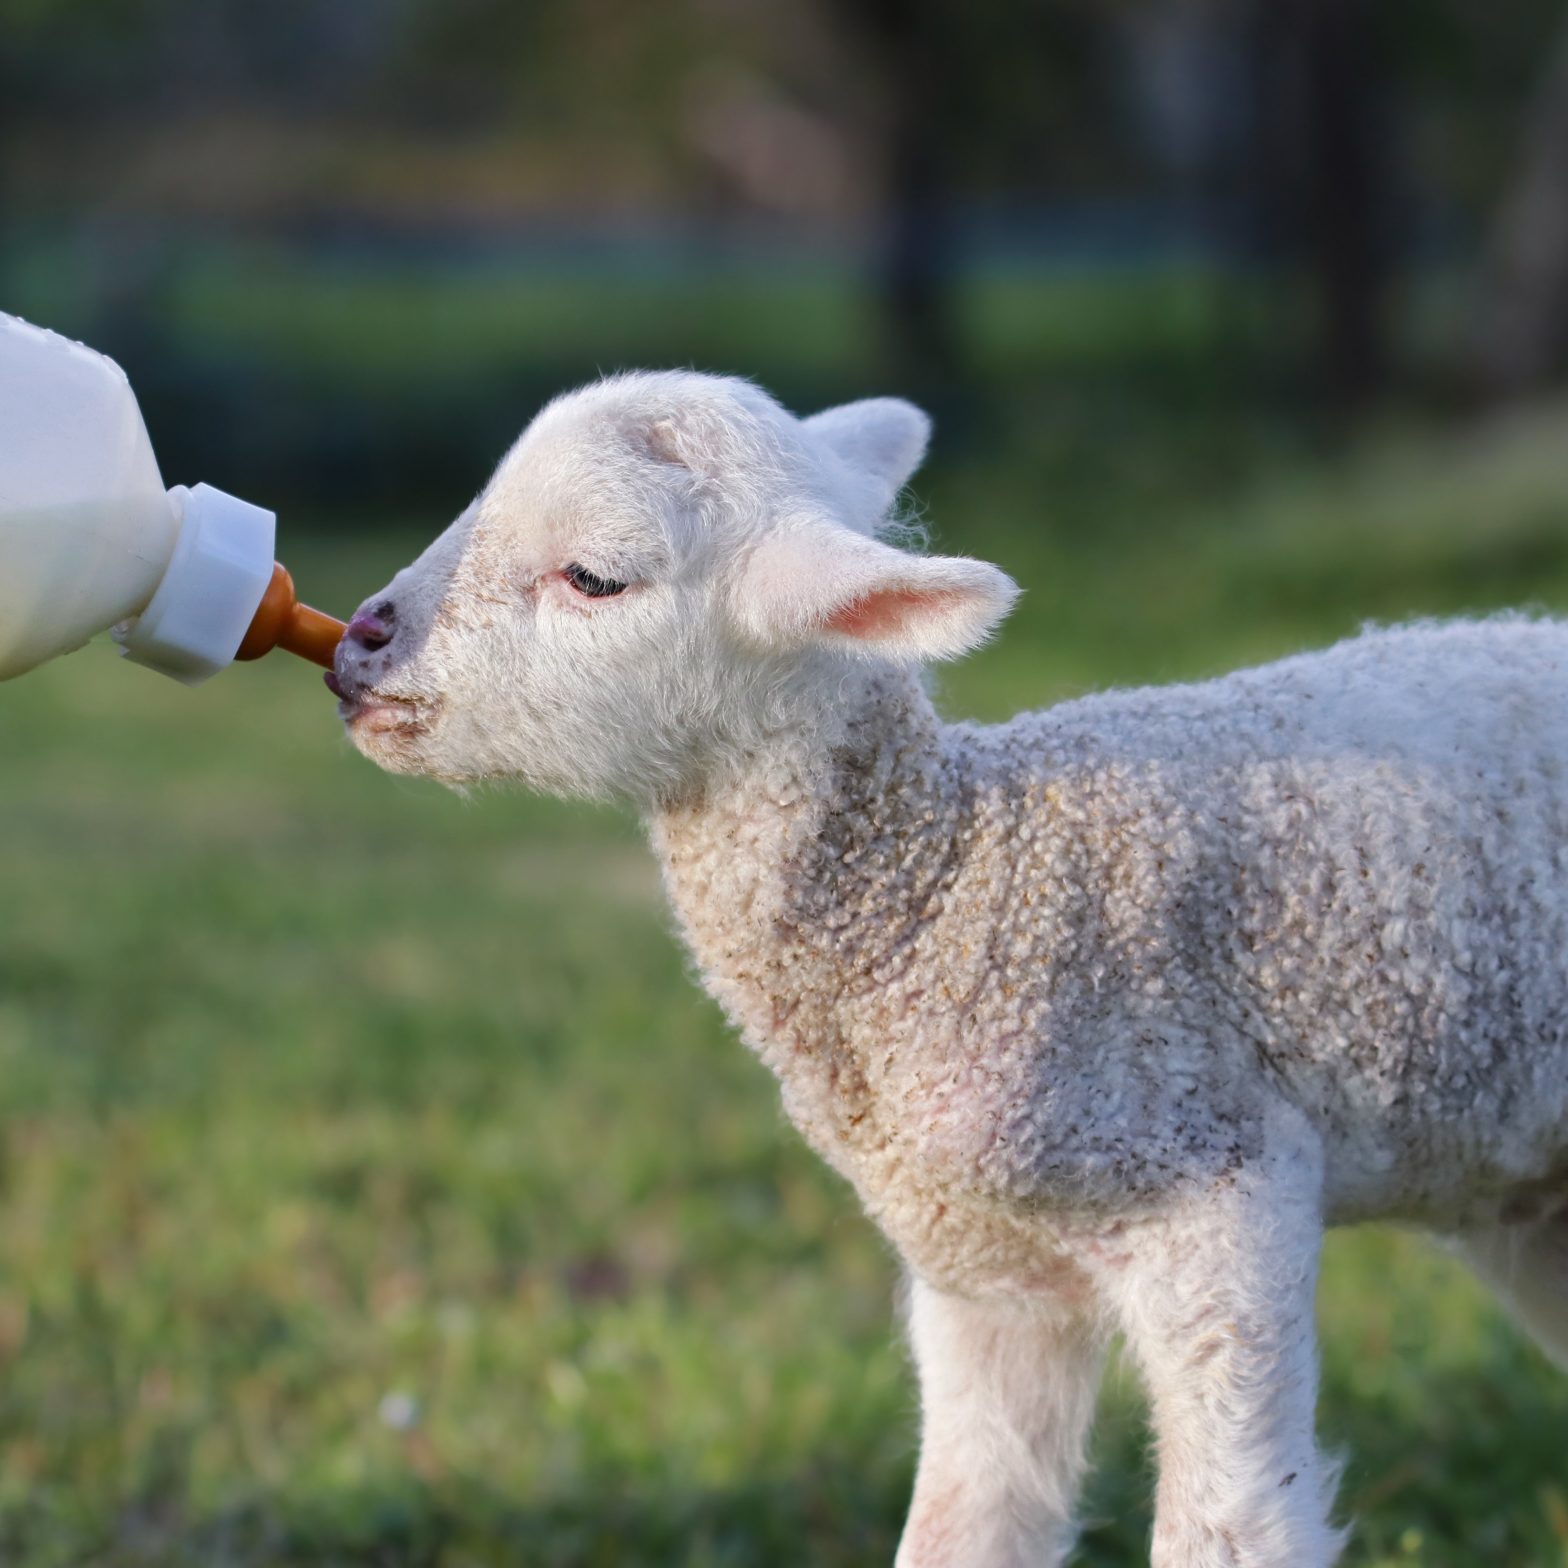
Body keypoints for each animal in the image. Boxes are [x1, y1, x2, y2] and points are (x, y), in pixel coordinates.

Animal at [328, 369, 1568, 1568]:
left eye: (593, 575)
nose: (357, 643)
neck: (957, 888)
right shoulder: (981, 1266)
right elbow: (959, 1529)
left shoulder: (1217, 1185)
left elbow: (1225, 1532)